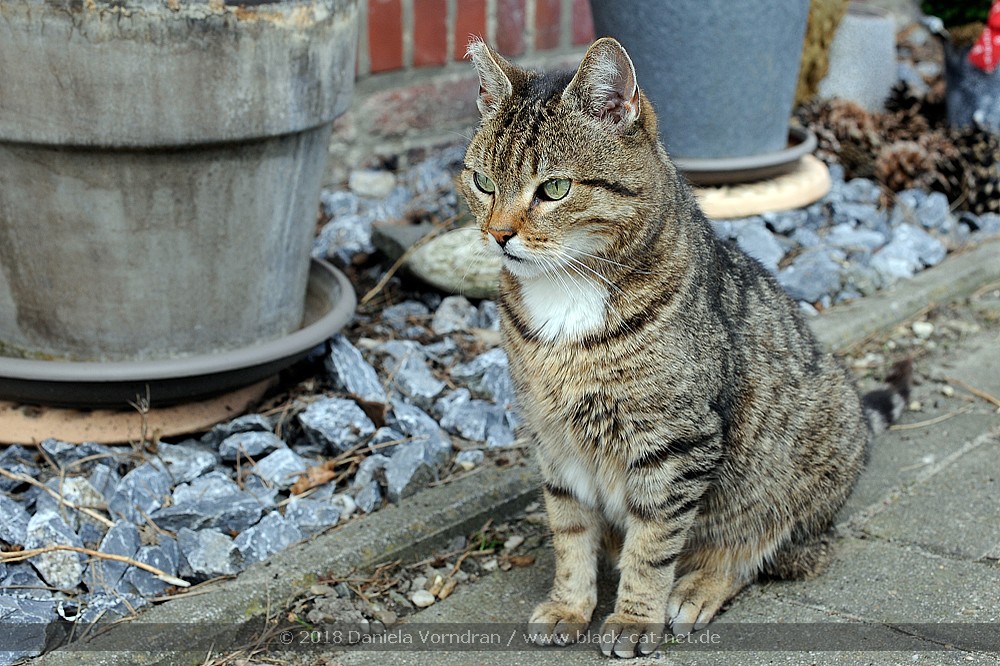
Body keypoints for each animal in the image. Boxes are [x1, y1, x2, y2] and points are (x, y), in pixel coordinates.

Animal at [458, 39, 912, 656]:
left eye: (553, 189)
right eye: (483, 181)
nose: (498, 233)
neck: (566, 294)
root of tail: (859, 421)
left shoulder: (675, 444)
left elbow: (652, 547)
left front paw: (633, 618)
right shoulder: (553, 440)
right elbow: (570, 532)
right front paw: (570, 605)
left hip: (798, 465)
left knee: (765, 551)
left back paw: (697, 588)